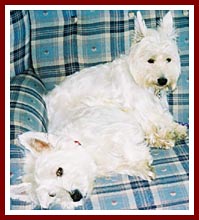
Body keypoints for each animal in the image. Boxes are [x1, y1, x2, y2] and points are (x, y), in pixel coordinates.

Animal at [11, 11, 188, 210]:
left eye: (168, 59)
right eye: (150, 60)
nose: (163, 80)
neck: (139, 79)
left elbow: (163, 120)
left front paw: (177, 130)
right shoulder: (138, 110)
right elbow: (151, 127)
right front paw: (160, 143)